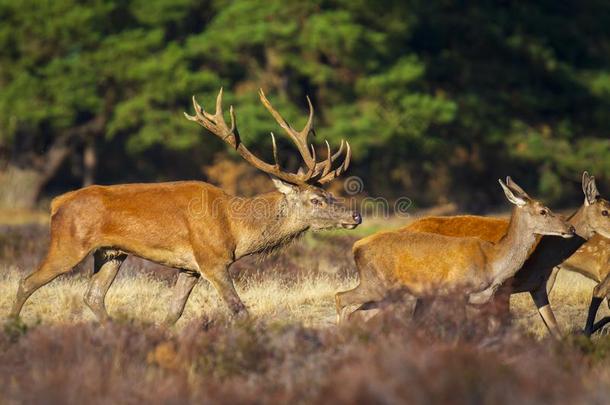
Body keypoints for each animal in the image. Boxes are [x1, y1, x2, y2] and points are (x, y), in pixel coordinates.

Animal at [11, 87, 358, 322]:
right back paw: (14, 327)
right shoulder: (212, 260)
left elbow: (174, 311)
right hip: (68, 244)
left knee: (93, 295)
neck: (236, 229)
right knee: (27, 281)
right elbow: (238, 309)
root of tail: (56, 203)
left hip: (111, 253)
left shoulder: (189, 267)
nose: (355, 215)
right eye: (316, 199)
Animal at [334, 177, 572, 322]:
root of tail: (356, 246)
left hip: (386, 293)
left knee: (357, 313)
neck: (492, 263)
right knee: (340, 297)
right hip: (375, 284)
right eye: (543, 211)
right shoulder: (458, 290)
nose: (570, 228)